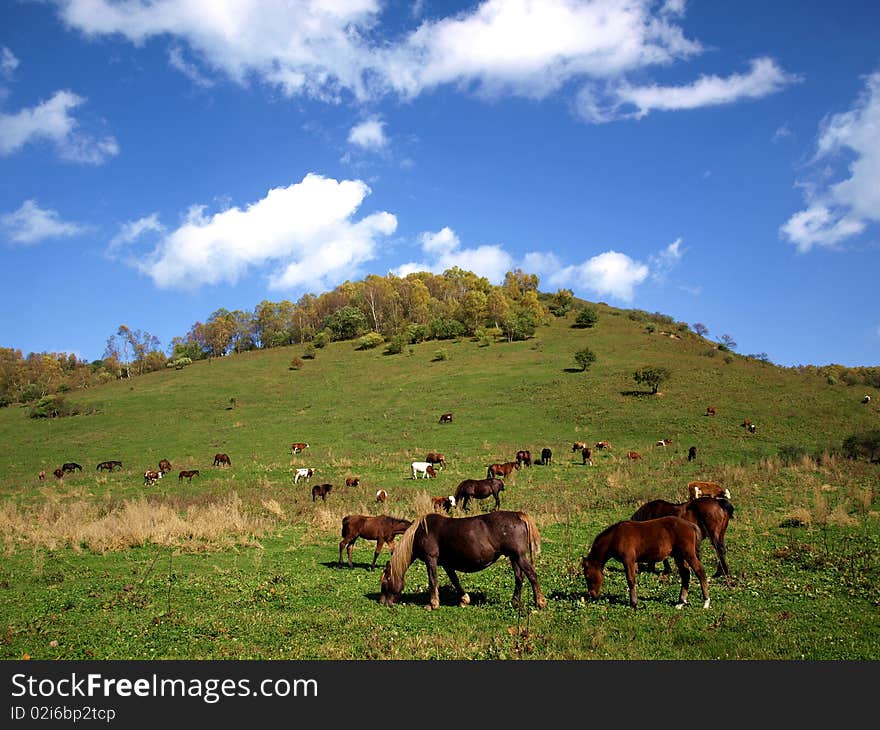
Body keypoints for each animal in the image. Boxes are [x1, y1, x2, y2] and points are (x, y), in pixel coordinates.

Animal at [376, 506, 544, 608]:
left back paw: (540, 602)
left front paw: (433, 604)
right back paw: (515, 602)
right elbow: (455, 581)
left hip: (519, 556)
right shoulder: (446, 563)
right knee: (519, 577)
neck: (419, 532)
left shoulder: (431, 559)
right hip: (513, 557)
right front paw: (464, 599)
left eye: (385, 583)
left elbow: (432, 580)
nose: (382, 603)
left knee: (531, 575)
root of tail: (518, 515)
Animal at [580, 516, 712, 612]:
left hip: (688, 554)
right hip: (678, 556)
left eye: (587, 576)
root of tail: (690, 525)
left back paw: (706, 602)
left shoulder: (628, 561)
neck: (616, 536)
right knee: (685, 575)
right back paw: (680, 603)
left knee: (700, 572)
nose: (592, 595)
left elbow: (631, 580)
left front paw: (634, 603)